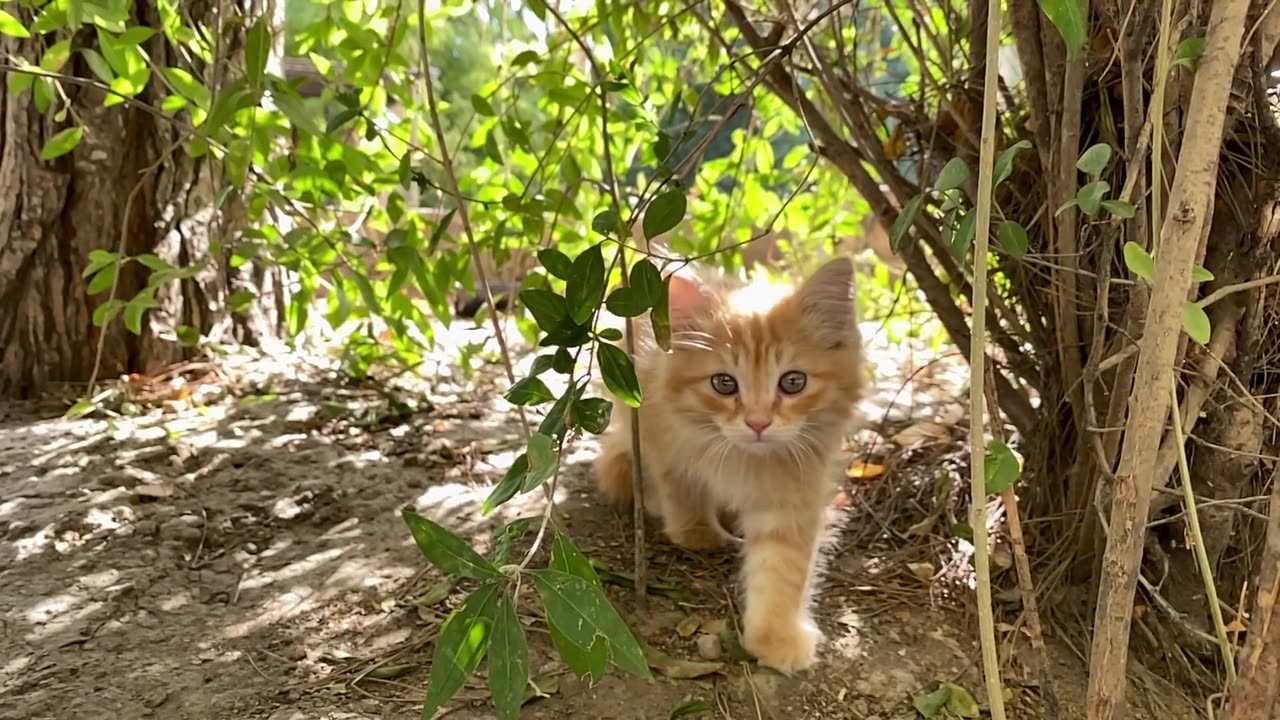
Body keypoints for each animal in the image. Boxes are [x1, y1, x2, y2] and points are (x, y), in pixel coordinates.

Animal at [593, 254, 865, 671]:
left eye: (793, 382)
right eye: (724, 384)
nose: (758, 422)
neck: (743, 459)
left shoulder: (793, 487)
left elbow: (781, 566)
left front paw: (775, 636)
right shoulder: (661, 435)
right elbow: (681, 487)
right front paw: (697, 531)